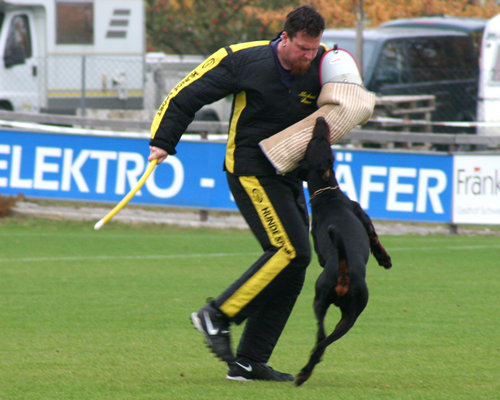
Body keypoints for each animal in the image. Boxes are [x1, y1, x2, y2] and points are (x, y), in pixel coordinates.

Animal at [294, 117, 392, 386]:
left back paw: (305, 371)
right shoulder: (364, 220)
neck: (328, 194)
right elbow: (375, 239)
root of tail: (344, 271)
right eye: (318, 140)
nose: (320, 119)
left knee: (322, 340)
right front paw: (385, 260)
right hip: (344, 309)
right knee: (322, 341)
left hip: (336, 310)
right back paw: (304, 372)